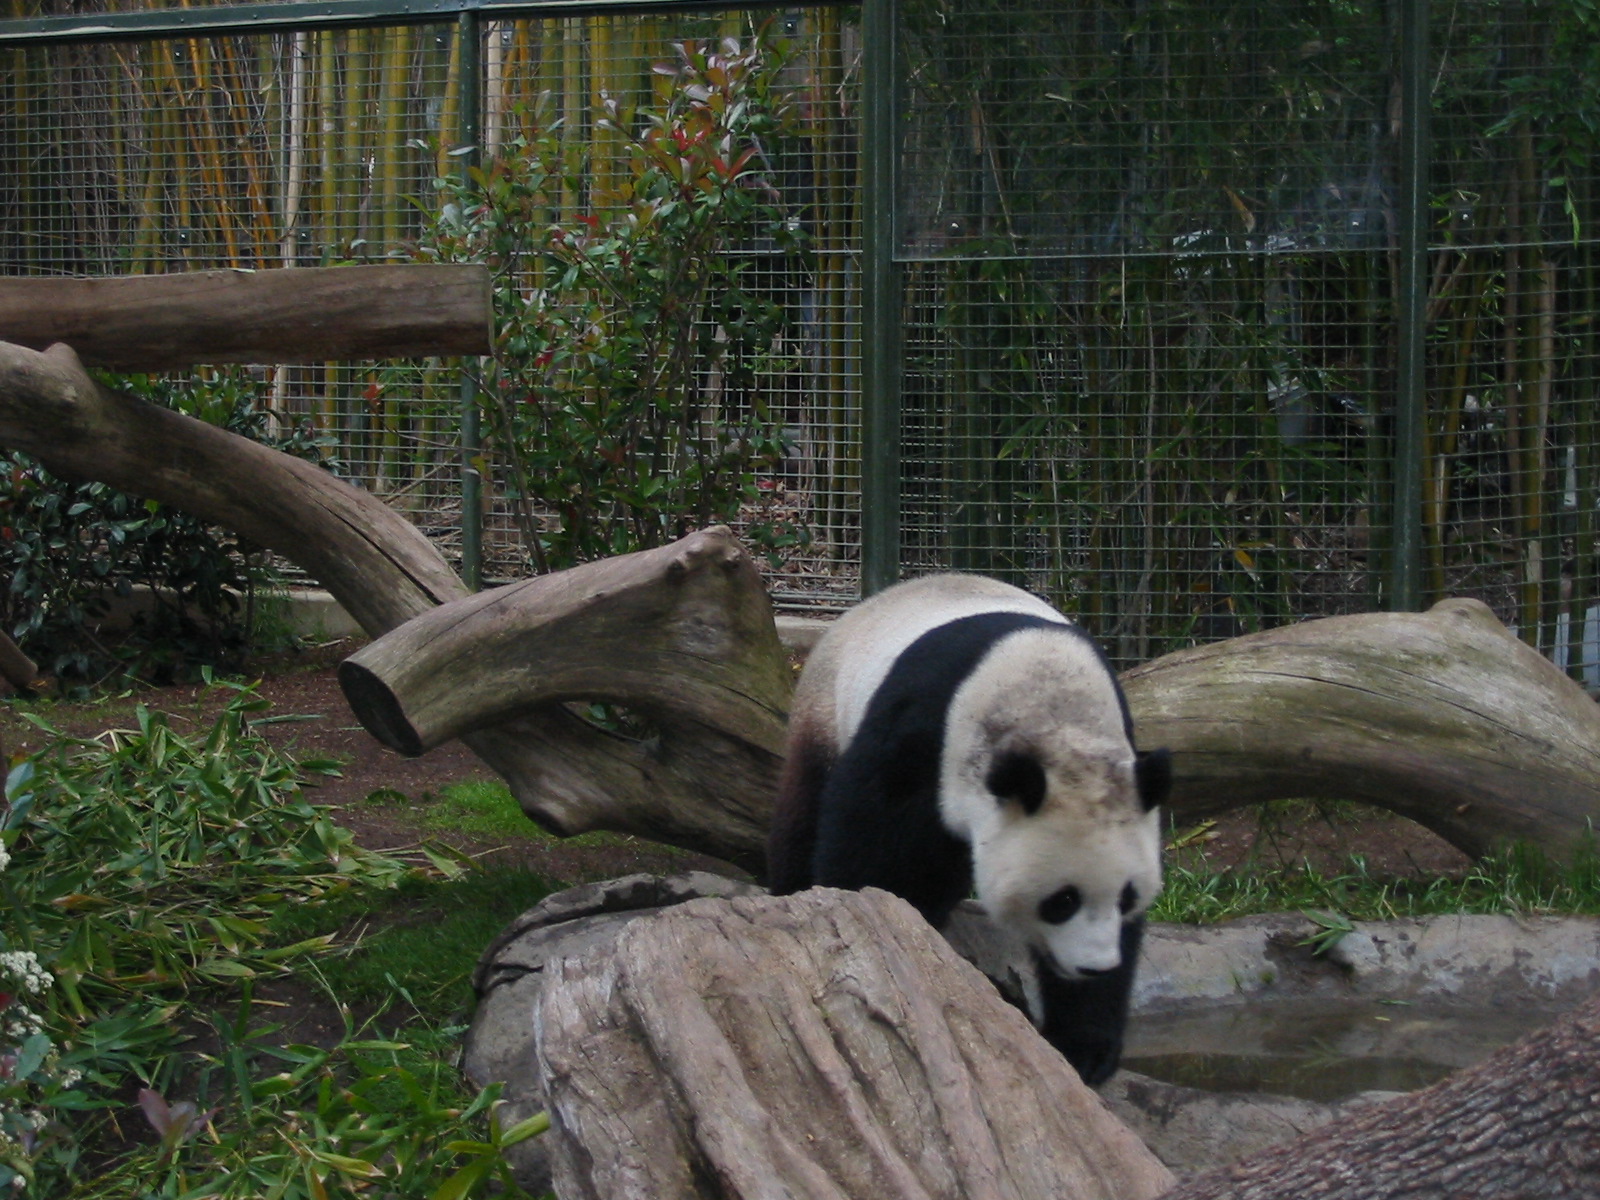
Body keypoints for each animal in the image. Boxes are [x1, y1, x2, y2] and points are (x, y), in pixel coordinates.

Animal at [766, 573, 1170, 1085]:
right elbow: (869, 833)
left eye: (1126, 898)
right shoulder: (925, 729)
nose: (1093, 966)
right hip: (826, 704)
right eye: (1062, 901)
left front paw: (1084, 1047)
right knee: (805, 806)